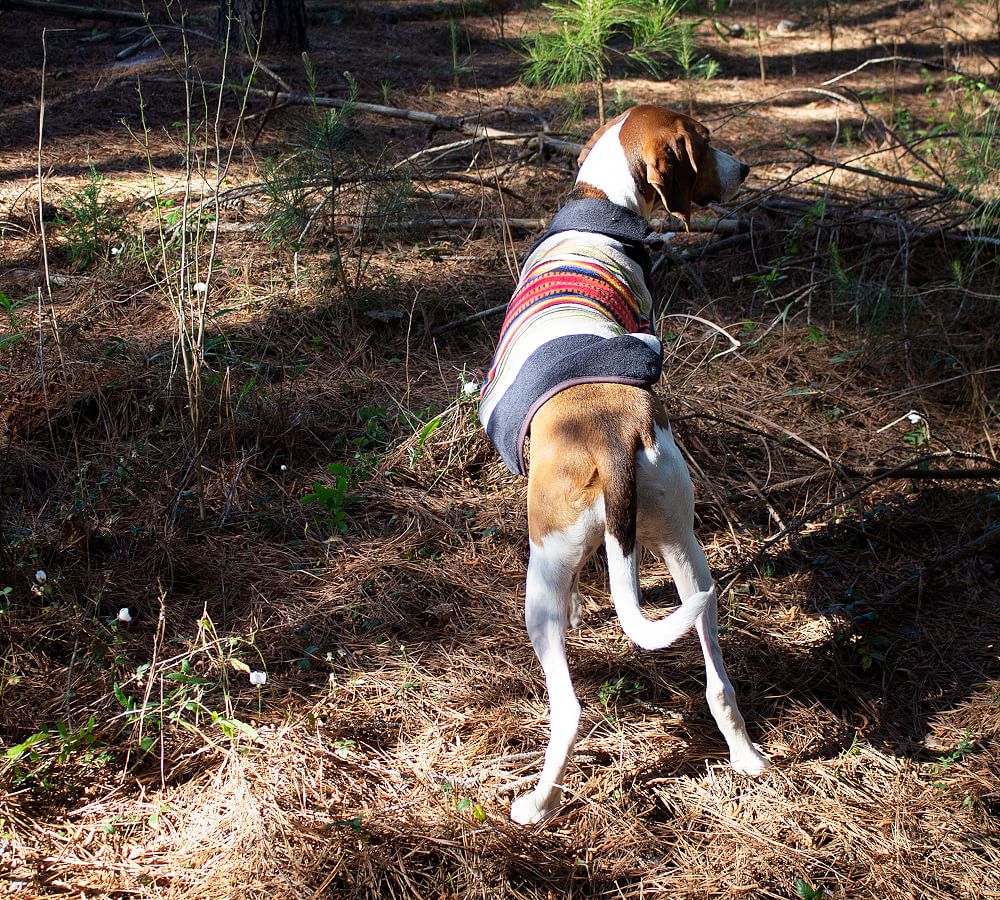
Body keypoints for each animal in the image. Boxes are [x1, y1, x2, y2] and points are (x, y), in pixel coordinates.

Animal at [480, 103, 768, 824]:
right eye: (705, 143)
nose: (746, 167)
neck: (602, 205)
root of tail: (612, 432)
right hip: (686, 547)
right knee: (718, 680)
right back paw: (746, 754)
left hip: (541, 591)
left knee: (570, 711)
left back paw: (537, 803)